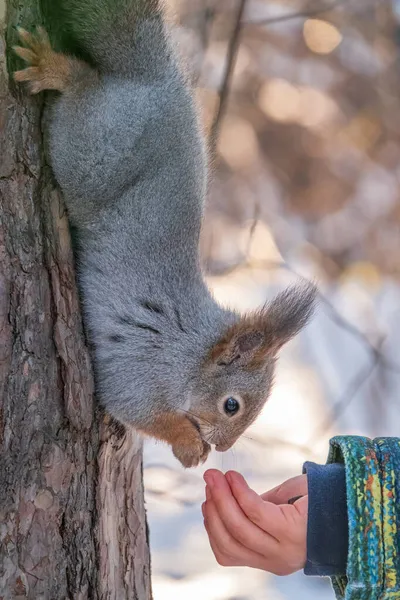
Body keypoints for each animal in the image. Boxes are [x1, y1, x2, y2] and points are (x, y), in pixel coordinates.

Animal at [14, 0, 318, 468]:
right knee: (85, 88)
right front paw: (189, 445)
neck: (190, 352)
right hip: (94, 150)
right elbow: (139, 410)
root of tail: (157, 77)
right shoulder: (142, 368)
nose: (223, 447)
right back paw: (57, 69)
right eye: (232, 405)